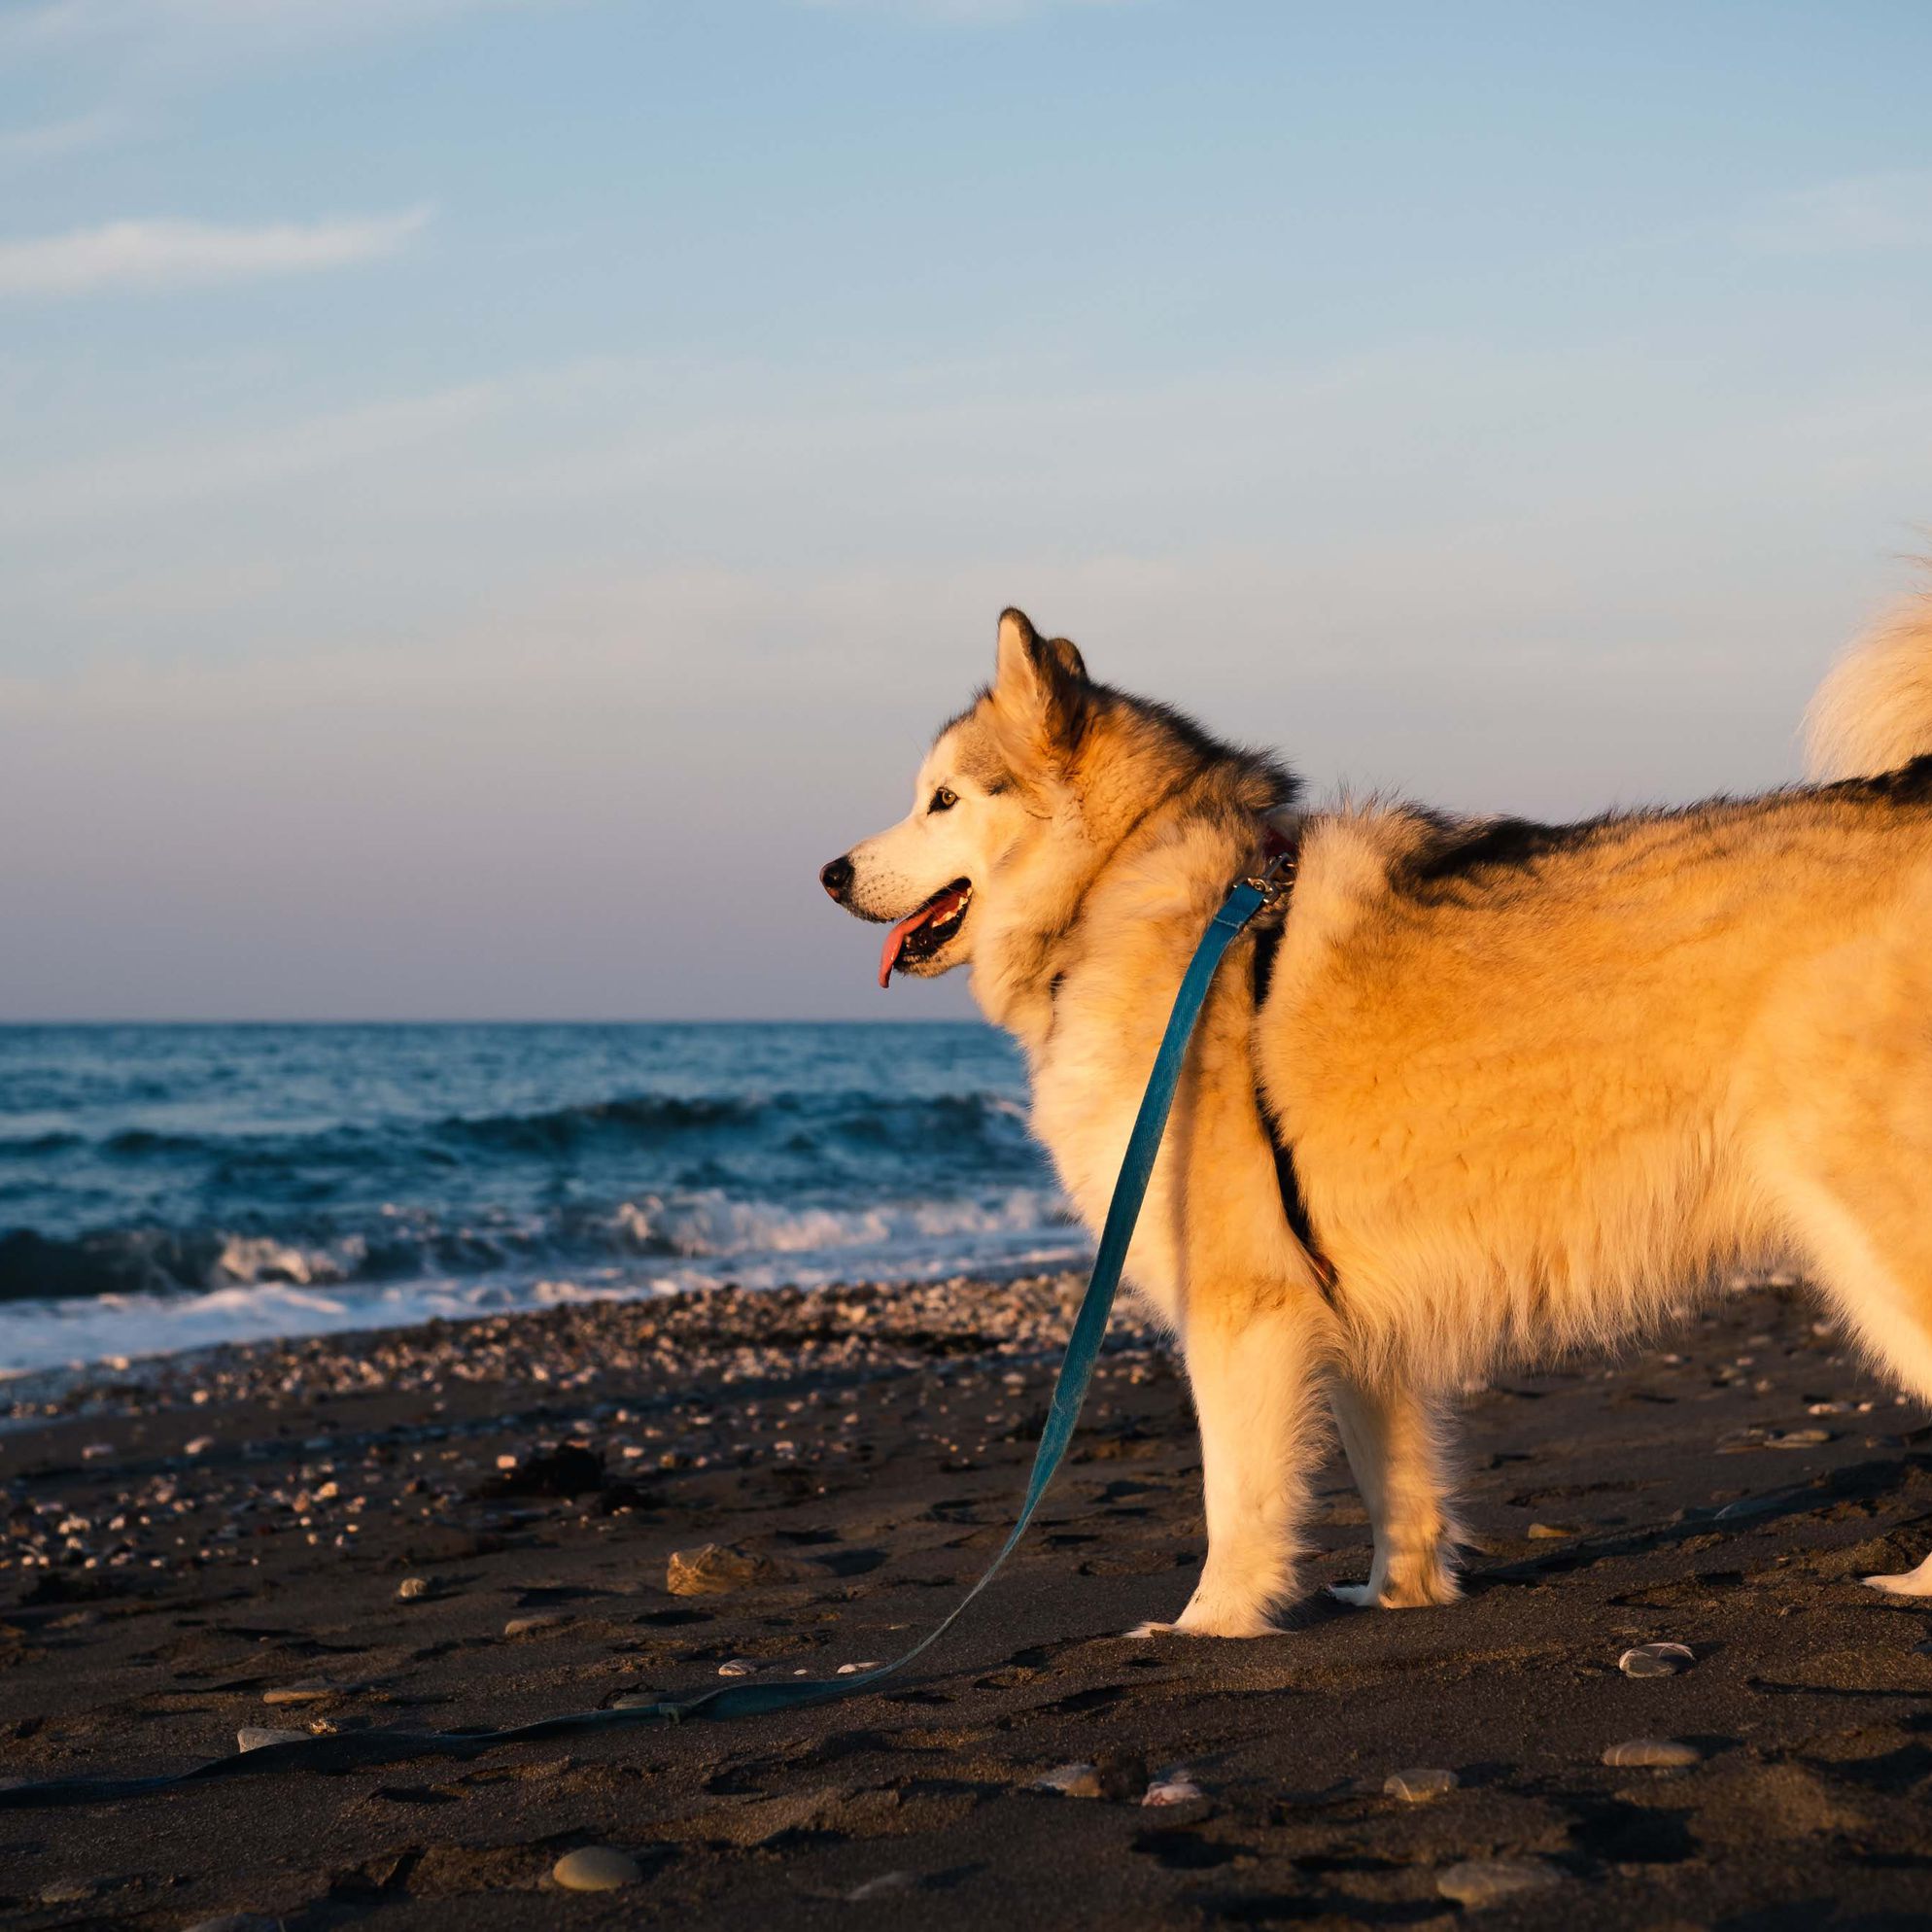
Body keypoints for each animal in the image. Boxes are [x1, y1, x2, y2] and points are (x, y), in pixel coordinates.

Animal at [822, 591, 1932, 1630]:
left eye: (941, 800)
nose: (831, 873)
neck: (1121, 884)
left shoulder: (1240, 1303)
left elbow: (1237, 1499)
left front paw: (1207, 1625)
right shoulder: (1350, 1309)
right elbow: (1394, 1481)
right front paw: (1396, 1596)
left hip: (1872, 1225)